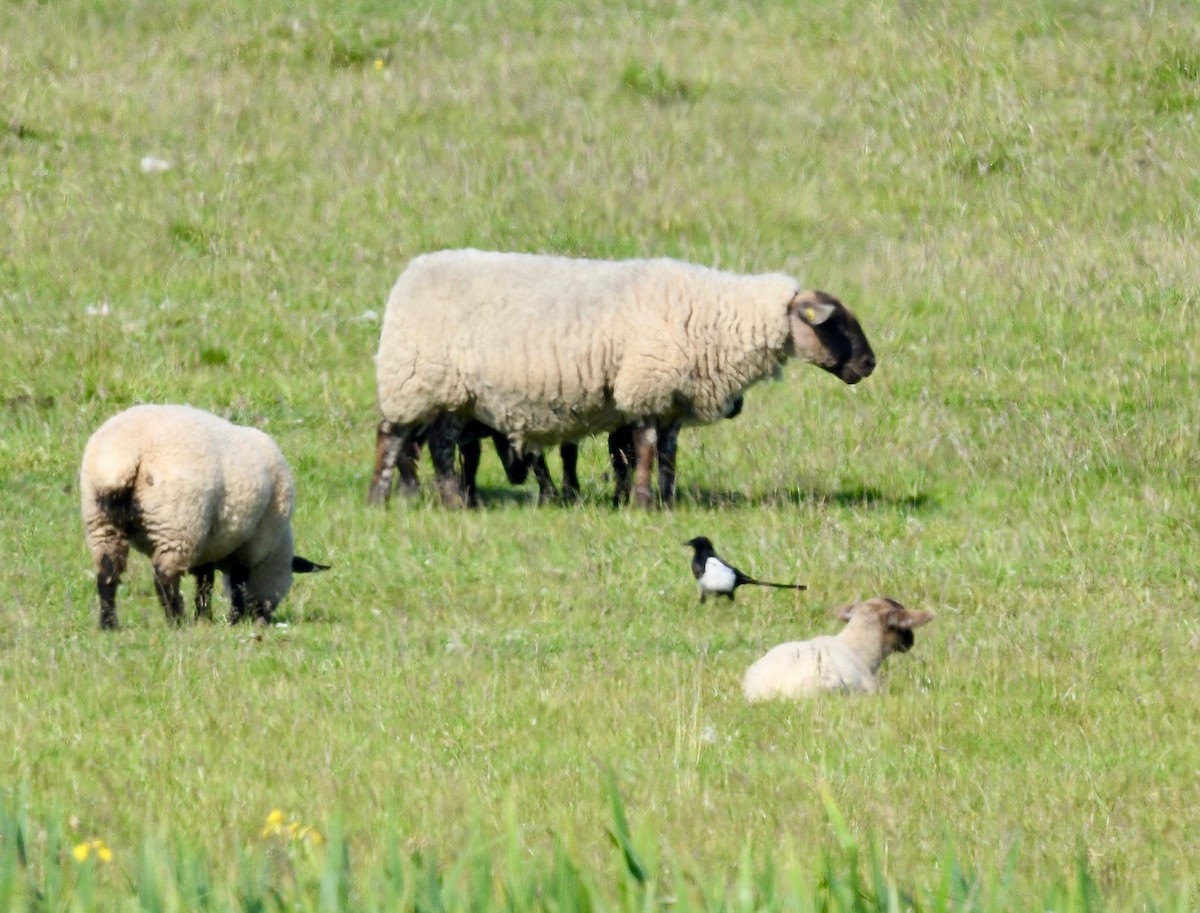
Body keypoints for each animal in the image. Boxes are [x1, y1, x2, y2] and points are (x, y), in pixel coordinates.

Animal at [80, 403, 328, 628]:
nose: (262, 619)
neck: (275, 550)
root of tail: (122, 457)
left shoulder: (207, 546)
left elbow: (205, 582)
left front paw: (204, 618)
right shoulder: (250, 546)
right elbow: (237, 583)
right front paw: (234, 619)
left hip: (101, 522)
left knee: (107, 573)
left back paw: (109, 624)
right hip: (177, 523)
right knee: (164, 577)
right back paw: (177, 622)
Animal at [364, 249, 873, 506]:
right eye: (833, 324)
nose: (869, 364)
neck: (718, 316)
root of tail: (409, 274)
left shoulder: (671, 399)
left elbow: (667, 453)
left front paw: (666, 500)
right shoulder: (646, 384)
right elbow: (644, 448)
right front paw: (644, 503)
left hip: (453, 392)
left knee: (440, 445)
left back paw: (452, 501)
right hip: (413, 378)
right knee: (392, 436)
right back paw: (380, 497)